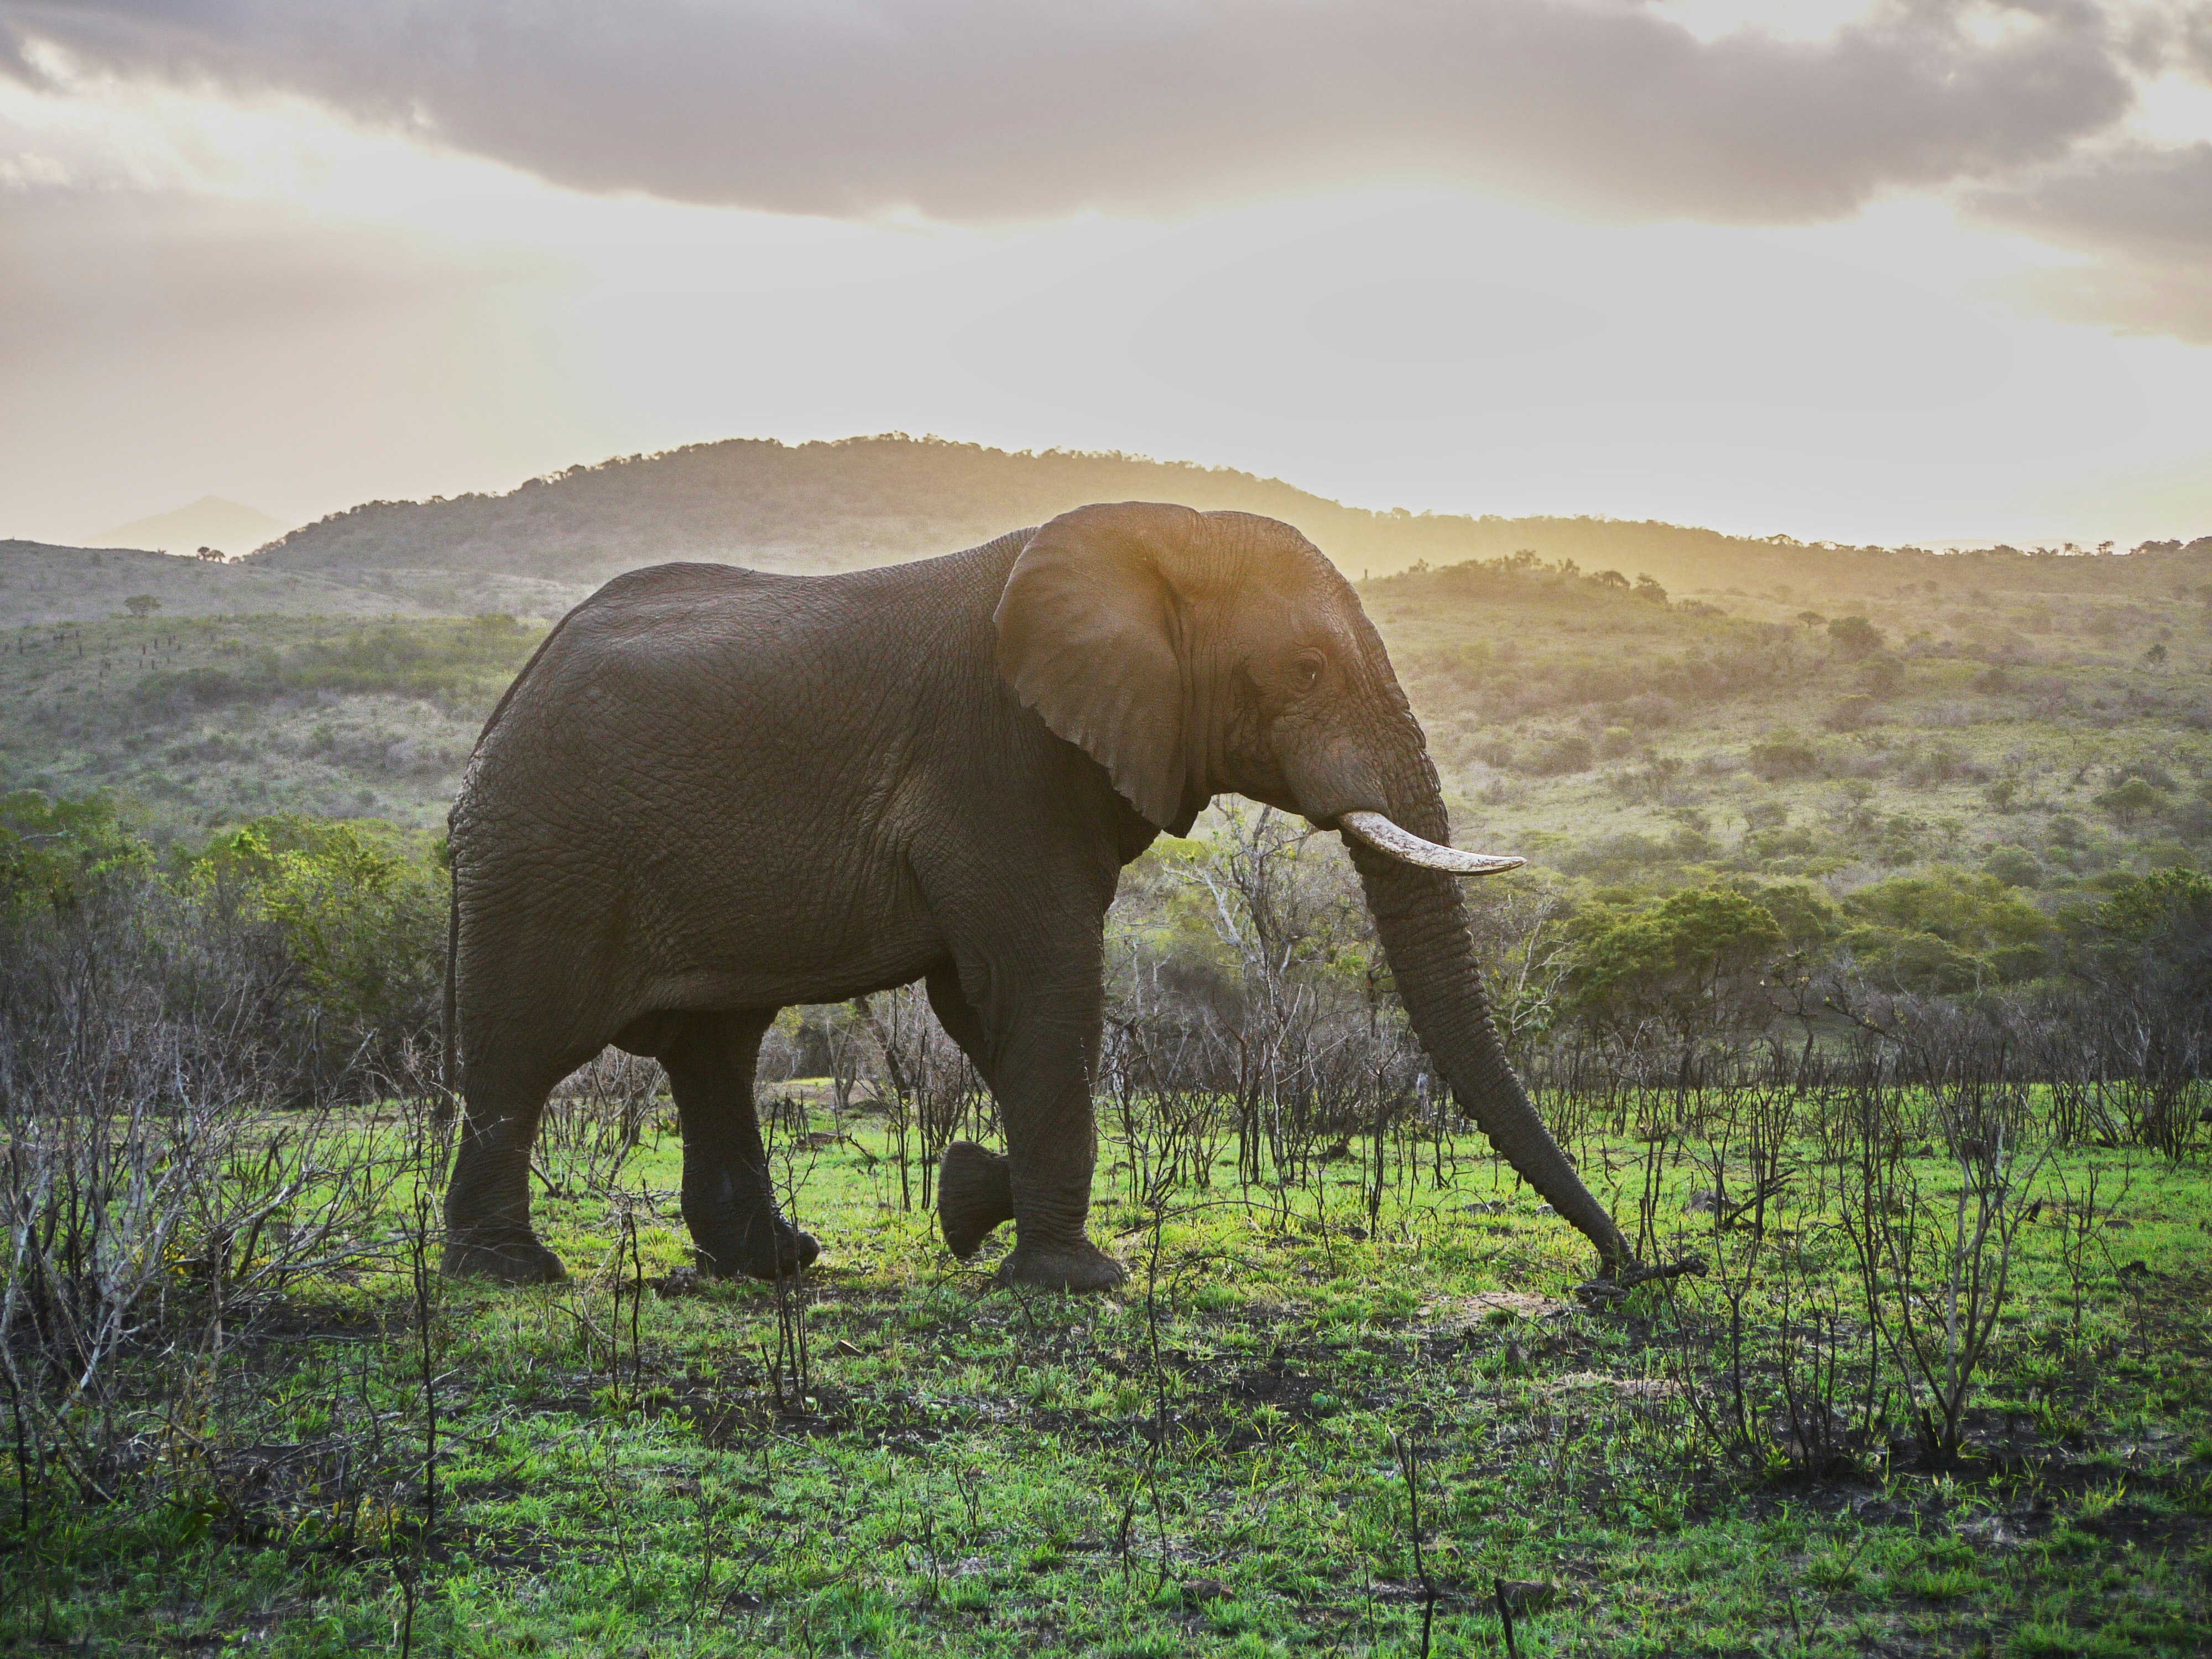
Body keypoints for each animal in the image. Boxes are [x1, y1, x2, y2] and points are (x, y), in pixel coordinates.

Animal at [440, 500, 1637, 1292]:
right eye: (1303, 671)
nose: (1614, 1277)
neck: (1153, 540)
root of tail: (513, 696)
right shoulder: (999, 760)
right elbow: (1038, 985)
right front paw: (1076, 1278)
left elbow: (987, 1007)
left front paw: (971, 1201)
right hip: (542, 852)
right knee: (522, 1048)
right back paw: (513, 1273)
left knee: (714, 1052)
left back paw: (776, 1264)